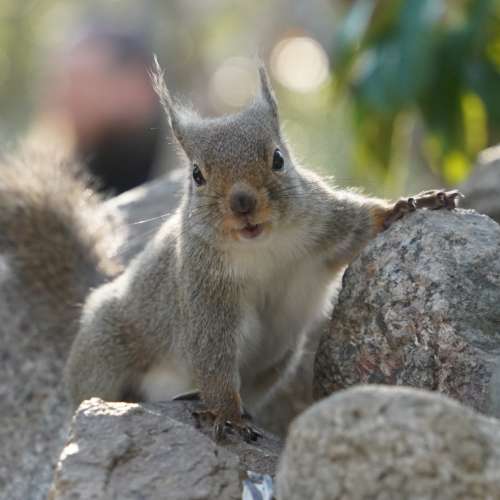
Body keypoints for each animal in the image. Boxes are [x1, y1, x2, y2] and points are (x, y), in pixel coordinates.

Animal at [0, 64, 460, 442]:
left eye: (278, 158)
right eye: (196, 175)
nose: (242, 202)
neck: (261, 246)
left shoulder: (325, 224)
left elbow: (362, 226)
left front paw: (409, 205)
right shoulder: (203, 288)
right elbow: (214, 355)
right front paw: (226, 414)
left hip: (276, 361)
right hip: (105, 352)